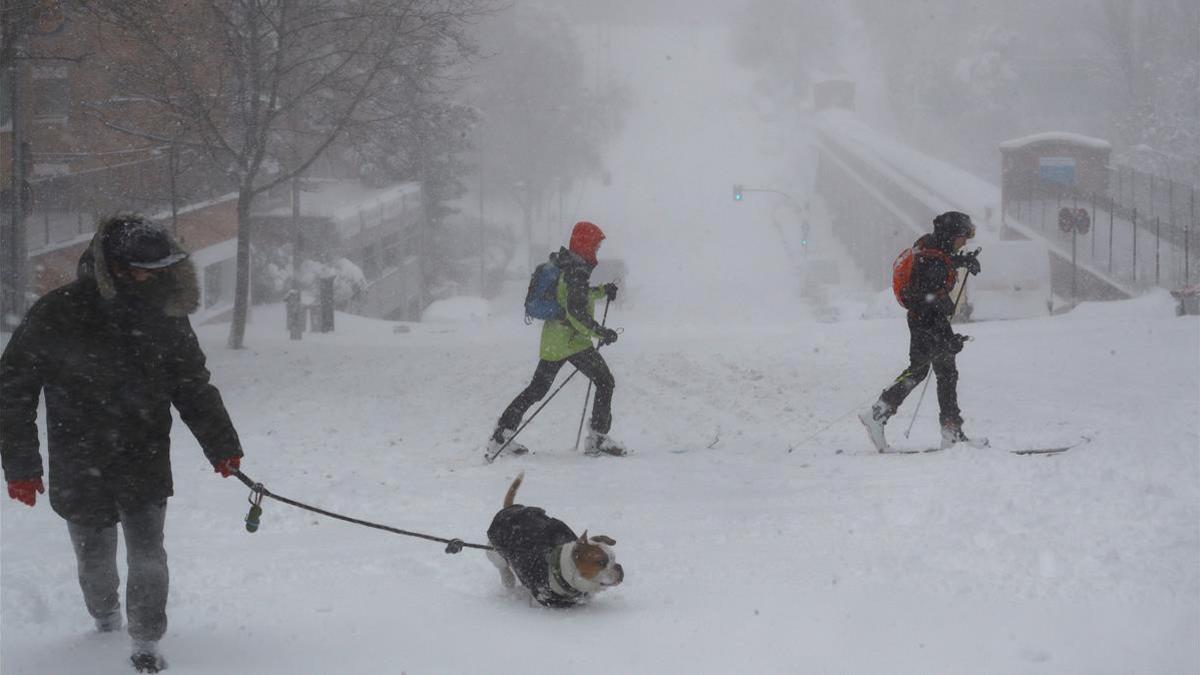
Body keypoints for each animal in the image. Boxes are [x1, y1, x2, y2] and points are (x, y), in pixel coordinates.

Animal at [484, 470, 624, 607]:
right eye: (601, 562)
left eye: (614, 558)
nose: (619, 567)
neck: (560, 570)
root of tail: (509, 509)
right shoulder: (540, 599)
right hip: (494, 551)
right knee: (502, 566)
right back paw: (508, 579)